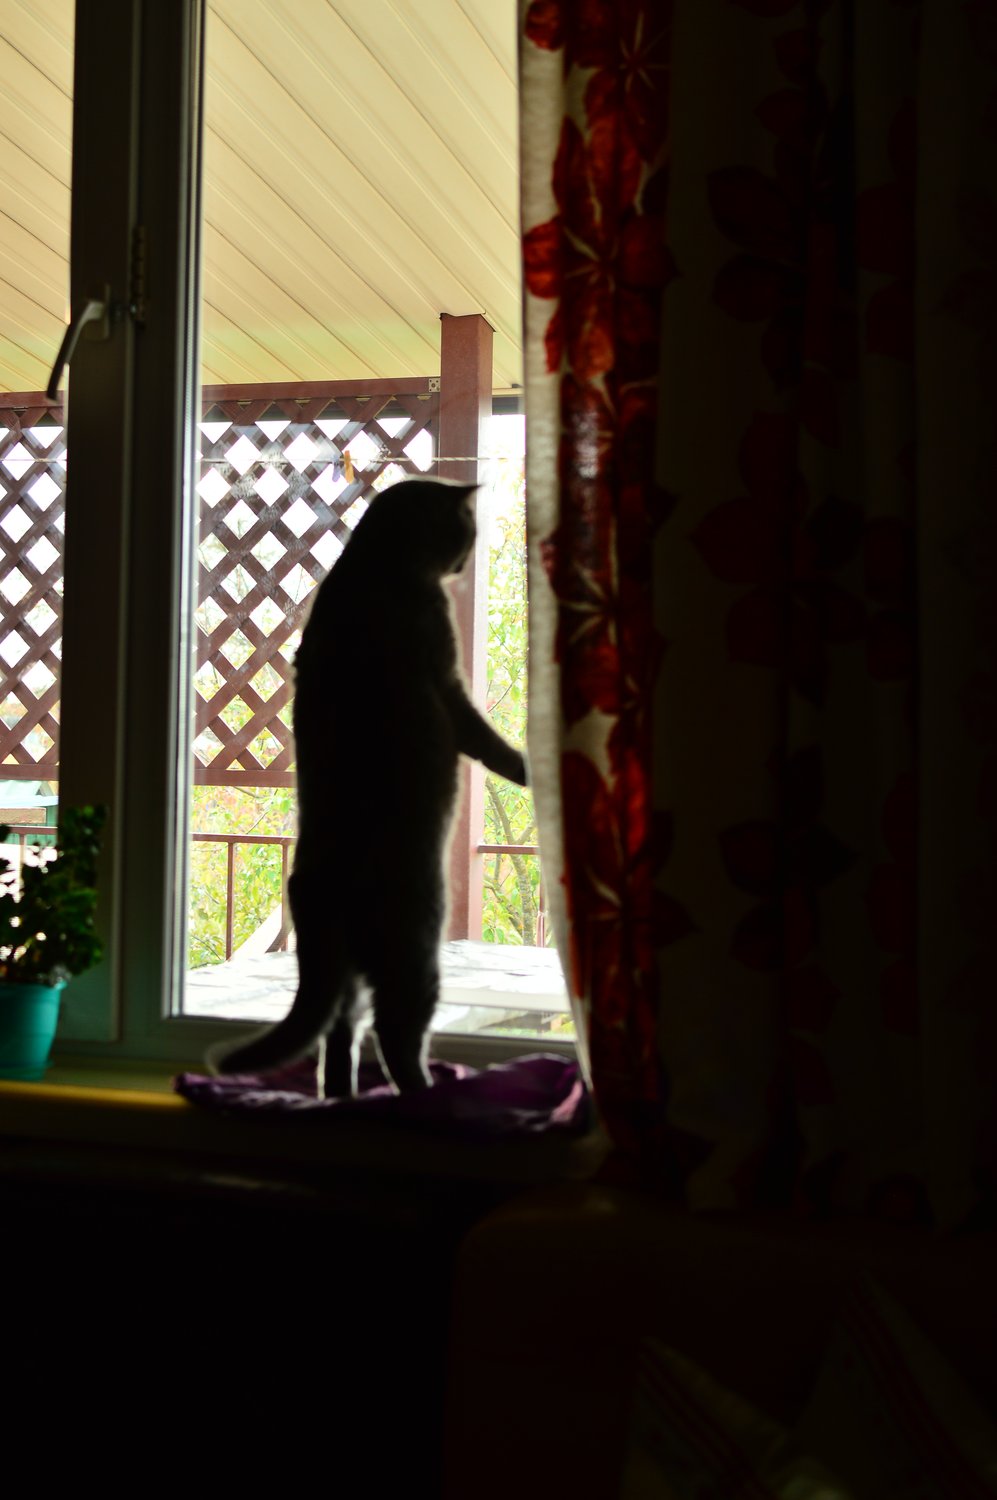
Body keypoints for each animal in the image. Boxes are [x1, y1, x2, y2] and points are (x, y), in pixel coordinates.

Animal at [207, 476, 528, 1096]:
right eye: (466, 529)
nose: (465, 559)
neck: (372, 568)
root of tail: (318, 889)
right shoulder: (447, 675)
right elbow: (487, 742)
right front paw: (528, 767)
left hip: (349, 978)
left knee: (336, 1037)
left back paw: (340, 1098)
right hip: (416, 954)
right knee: (394, 1034)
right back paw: (425, 1096)